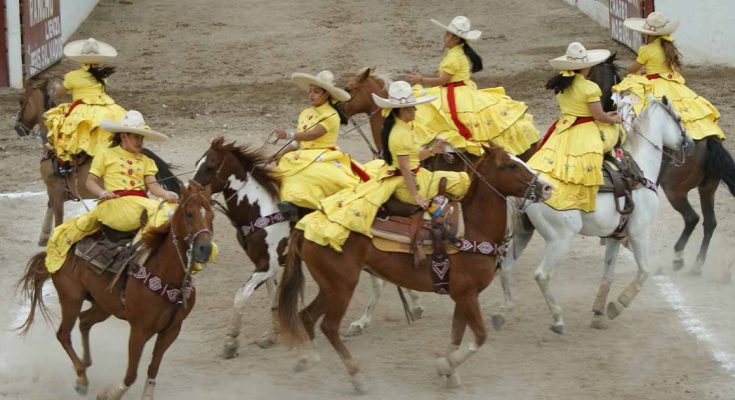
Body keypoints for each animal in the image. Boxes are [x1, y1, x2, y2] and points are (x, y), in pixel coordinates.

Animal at [16, 182, 213, 400]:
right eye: (189, 214)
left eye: (212, 215)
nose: (205, 249)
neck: (166, 275)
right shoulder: (139, 331)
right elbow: (131, 374)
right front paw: (109, 394)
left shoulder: (172, 330)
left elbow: (153, 368)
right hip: (71, 299)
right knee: (63, 334)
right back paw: (81, 378)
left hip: (103, 306)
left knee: (84, 321)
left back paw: (84, 364)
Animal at [193, 137, 290, 356]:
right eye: (196, 164)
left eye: (210, 167)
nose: (187, 193)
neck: (262, 212)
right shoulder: (266, 266)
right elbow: (273, 298)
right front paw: (271, 336)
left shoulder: (266, 266)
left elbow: (240, 295)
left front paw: (231, 341)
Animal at [278, 146, 552, 390]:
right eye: (511, 165)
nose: (547, 187)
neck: (473, 229)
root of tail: (304, 227)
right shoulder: (466, 294)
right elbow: (480, 336)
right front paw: (445, 366)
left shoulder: (463, 296)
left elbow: (456, 335)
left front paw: (450, 374)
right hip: (342, 287)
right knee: (328, 326)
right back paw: (357, 377)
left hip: (329, 287)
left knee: (306, 317)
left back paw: (307, 360)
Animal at [494, 95, 696, 332]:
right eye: (679, 118)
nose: (691, 144)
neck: (639, 171)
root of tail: (533, 188)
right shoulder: (639, 232)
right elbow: (645, 270)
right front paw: (617, 305)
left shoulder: (615, 236)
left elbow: (608, 274)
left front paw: (598, 313)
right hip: (560, 240)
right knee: (542, 275)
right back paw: (557, 319)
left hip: (523, 233)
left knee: (506, 268)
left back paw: (501, 313)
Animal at [588, 55, 735, 276]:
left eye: (590, 74)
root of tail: (708, 140)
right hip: (708, 188)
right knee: (710, 222)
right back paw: (697, 265)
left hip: (675, 191)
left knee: (692, 218)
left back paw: (678, 257)